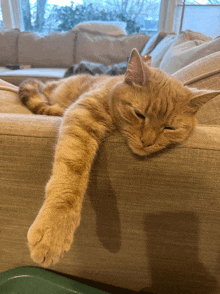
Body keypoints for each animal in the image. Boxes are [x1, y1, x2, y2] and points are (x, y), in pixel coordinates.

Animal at [18, 47, 220, 266]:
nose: (147, 141)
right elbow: (70, 178)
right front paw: (54, 228)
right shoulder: (83, 113)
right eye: (139, 114)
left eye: (169, 128)